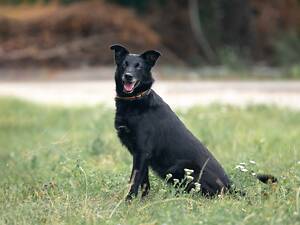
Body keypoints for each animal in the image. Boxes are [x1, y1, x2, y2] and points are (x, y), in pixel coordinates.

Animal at [110, 44, 276, 200]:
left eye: (138, 66)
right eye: (124, 64)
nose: (128, 76)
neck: (135, 100)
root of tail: (230, 186)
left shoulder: (142, 151)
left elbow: (134, 180)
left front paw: (128, 202)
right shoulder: (140, 154)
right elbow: (144, 182)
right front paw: (143, 201)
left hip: (179, 168)